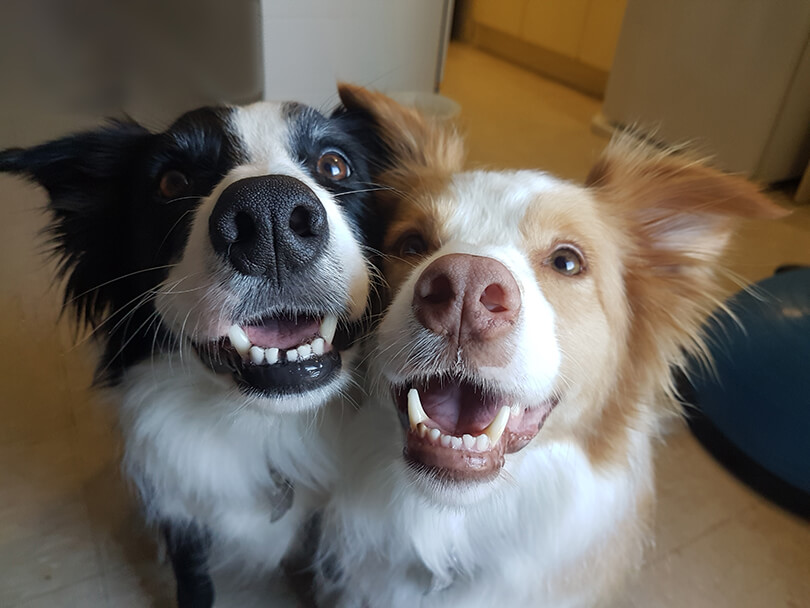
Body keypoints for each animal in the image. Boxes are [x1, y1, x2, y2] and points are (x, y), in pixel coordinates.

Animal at [0, 101, 378, 608]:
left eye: (335, 165)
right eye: (171, 182)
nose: (270, 215)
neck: (264, 426)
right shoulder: (179, 507)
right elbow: (192, 575)